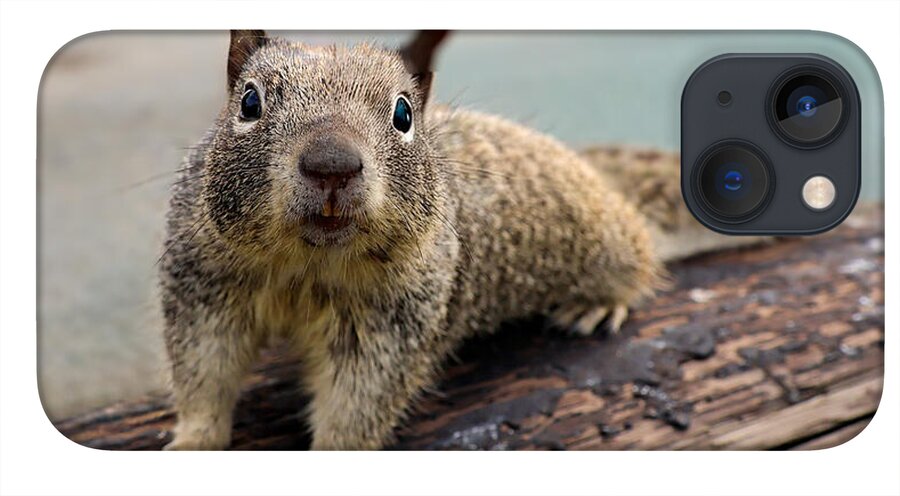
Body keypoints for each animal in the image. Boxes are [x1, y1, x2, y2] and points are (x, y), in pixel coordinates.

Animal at [160, 30, 745, 450]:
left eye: (403, 113)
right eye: (249, 102)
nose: (331, 165)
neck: (309, 264)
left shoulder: (392, 323)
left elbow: (357, 404)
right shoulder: (204, 287)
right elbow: (204, 374)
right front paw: (192, 442)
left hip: (607, 241)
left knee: (638, 256)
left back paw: (598, 303)